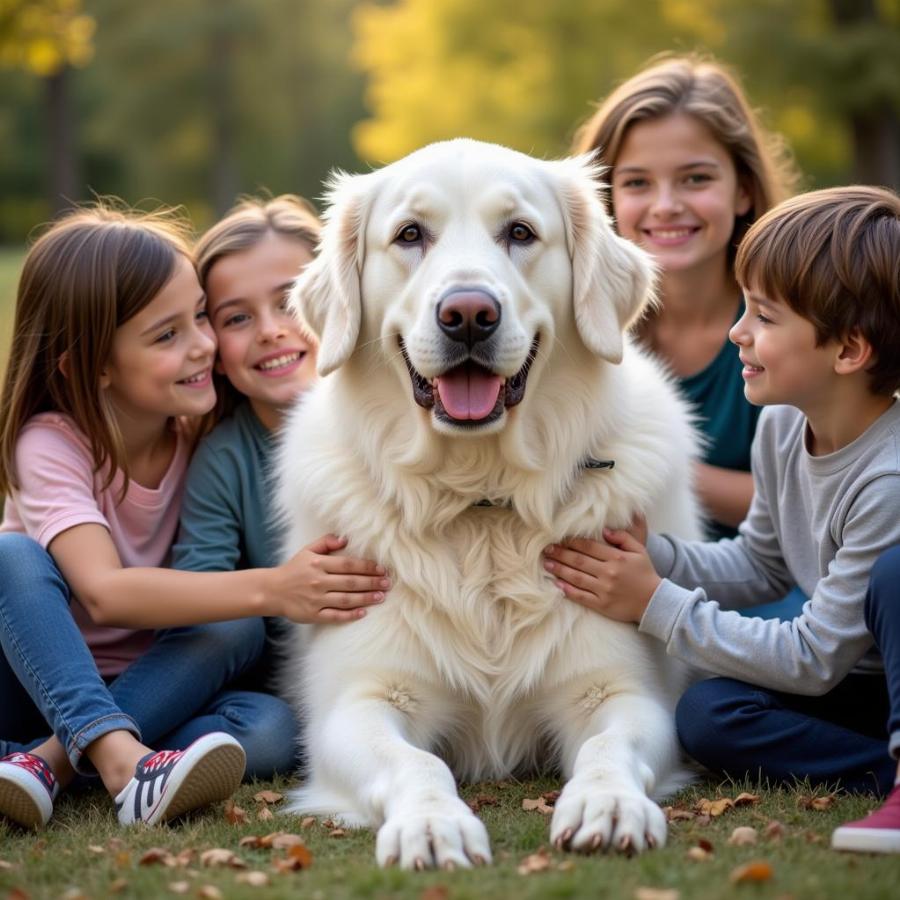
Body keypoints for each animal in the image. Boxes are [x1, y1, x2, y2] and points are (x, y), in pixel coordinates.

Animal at [274, 139, 704, 864]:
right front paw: (431, 823)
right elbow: (417, 762)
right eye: (410, 235)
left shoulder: (623, 688)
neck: (481, 506)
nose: (469, 314)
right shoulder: (357, 701)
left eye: (521, 233)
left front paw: (611, 805)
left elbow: (608, 744)